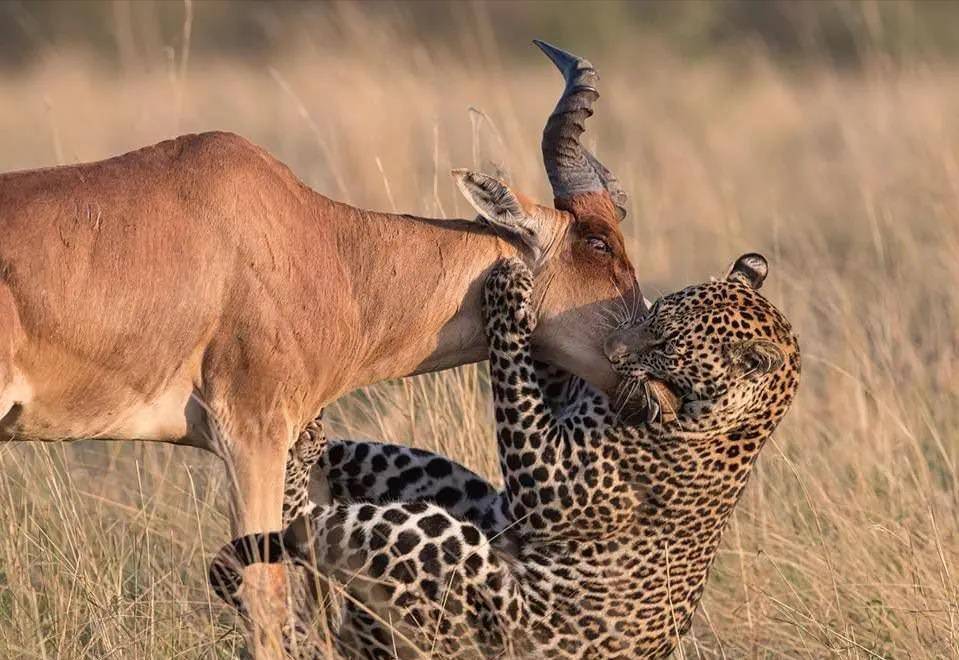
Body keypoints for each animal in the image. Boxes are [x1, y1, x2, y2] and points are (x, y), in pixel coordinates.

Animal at [0, 41, 644, 656]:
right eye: (597, 242)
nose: (650, 385)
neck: (315, 237)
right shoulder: (251, 434)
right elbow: (264, 595)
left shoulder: (297, 454)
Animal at [210, 250, 804, 656]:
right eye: (653, 312)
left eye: (667, 346)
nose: (612, 351)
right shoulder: (510, 509)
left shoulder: (548, 485)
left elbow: (513, 376)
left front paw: (506, 291)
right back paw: (304, 450)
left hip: (445, 558)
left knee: (307, 531)